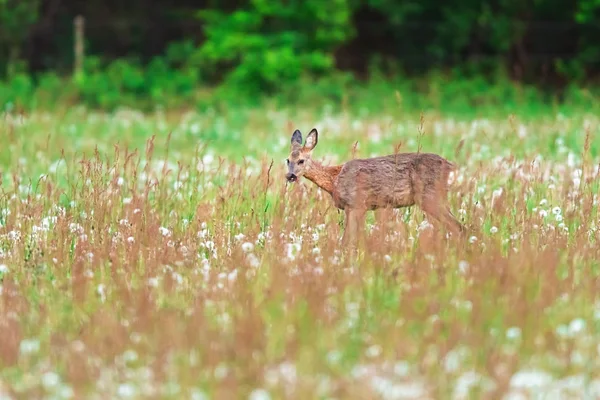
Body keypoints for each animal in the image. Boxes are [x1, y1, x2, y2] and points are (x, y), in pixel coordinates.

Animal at [284, 127, 464, 244]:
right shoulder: (359, 208)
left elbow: (347, 241)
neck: (334, 179)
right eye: (287, 160)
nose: (290, 176)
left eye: (301, 160)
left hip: (429, 197)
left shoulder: (355, 204)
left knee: (458, 227)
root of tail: (449, 166)